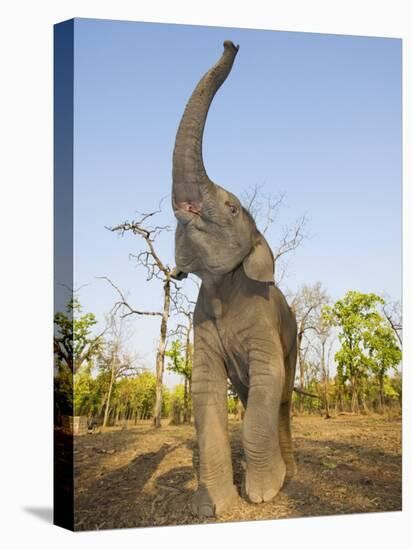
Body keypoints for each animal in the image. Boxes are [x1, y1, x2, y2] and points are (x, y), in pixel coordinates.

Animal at [170, 41, 296, 520]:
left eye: (231, 207)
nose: (231, 43)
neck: (223, 286)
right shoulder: (201, 324)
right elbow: (205, 389)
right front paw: (211, 508)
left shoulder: (263, 321)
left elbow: (269, 377)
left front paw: (262, 495)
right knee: (248, 395)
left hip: (295, 337)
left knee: (281, 398)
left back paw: (291, 472)